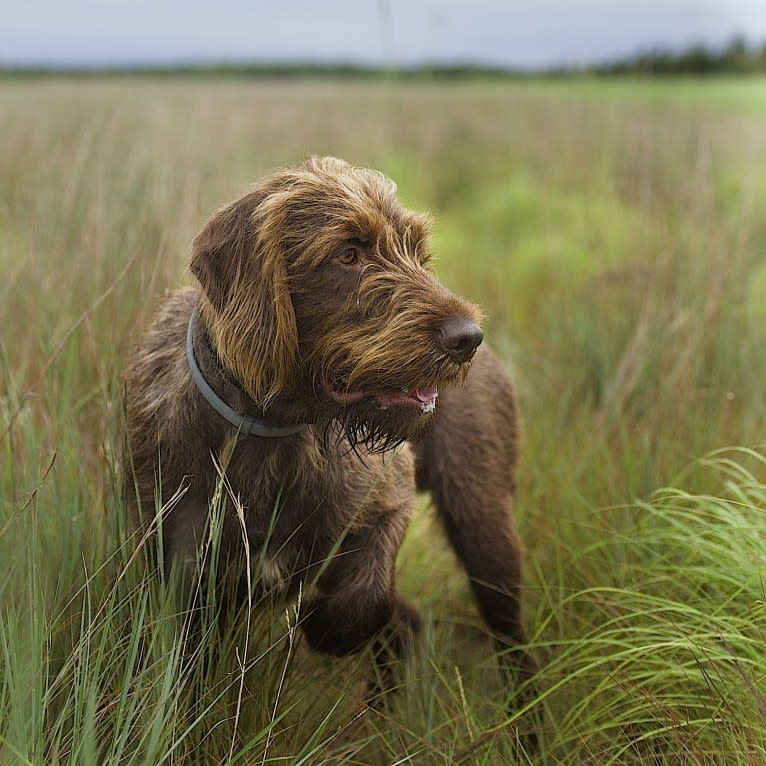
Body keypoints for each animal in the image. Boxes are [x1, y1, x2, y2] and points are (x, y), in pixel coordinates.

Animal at [124, 156, 536, 696]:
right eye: (347, 254)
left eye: (418, 252)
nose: (467, 337)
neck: (272, 430)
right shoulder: (180, 575)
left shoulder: (386, 505)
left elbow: (365, 601)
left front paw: (321, 625)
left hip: (483, 526)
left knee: (506, 637)